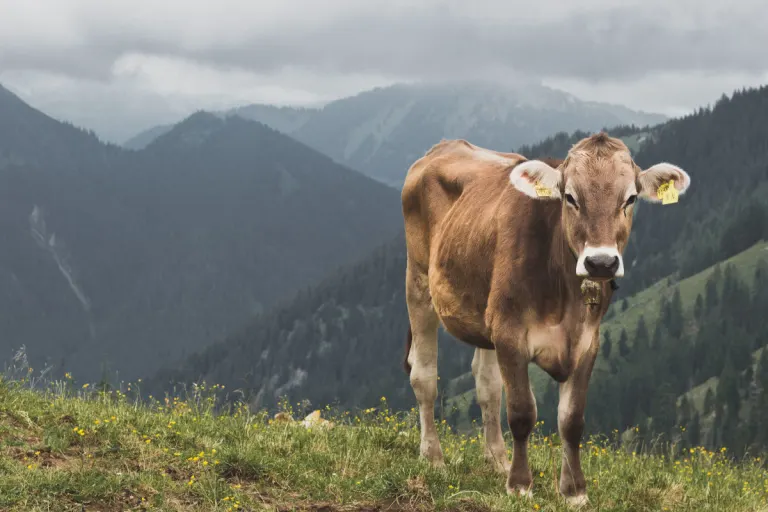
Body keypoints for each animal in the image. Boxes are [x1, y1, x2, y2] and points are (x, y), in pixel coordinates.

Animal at [400, 132, 690, 506]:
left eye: (630, 198)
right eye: (570, 197)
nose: (601, 263)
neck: (564, 297)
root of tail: (445, 145)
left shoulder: (588, 342)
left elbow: (571, 419)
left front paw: (574, 491)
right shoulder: (509, 334)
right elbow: (523, 411)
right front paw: (520, 485)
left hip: (484, 311)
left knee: (487, 385)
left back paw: (497, 459)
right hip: (419, 281)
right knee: (424, 376)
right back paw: (433, 456)